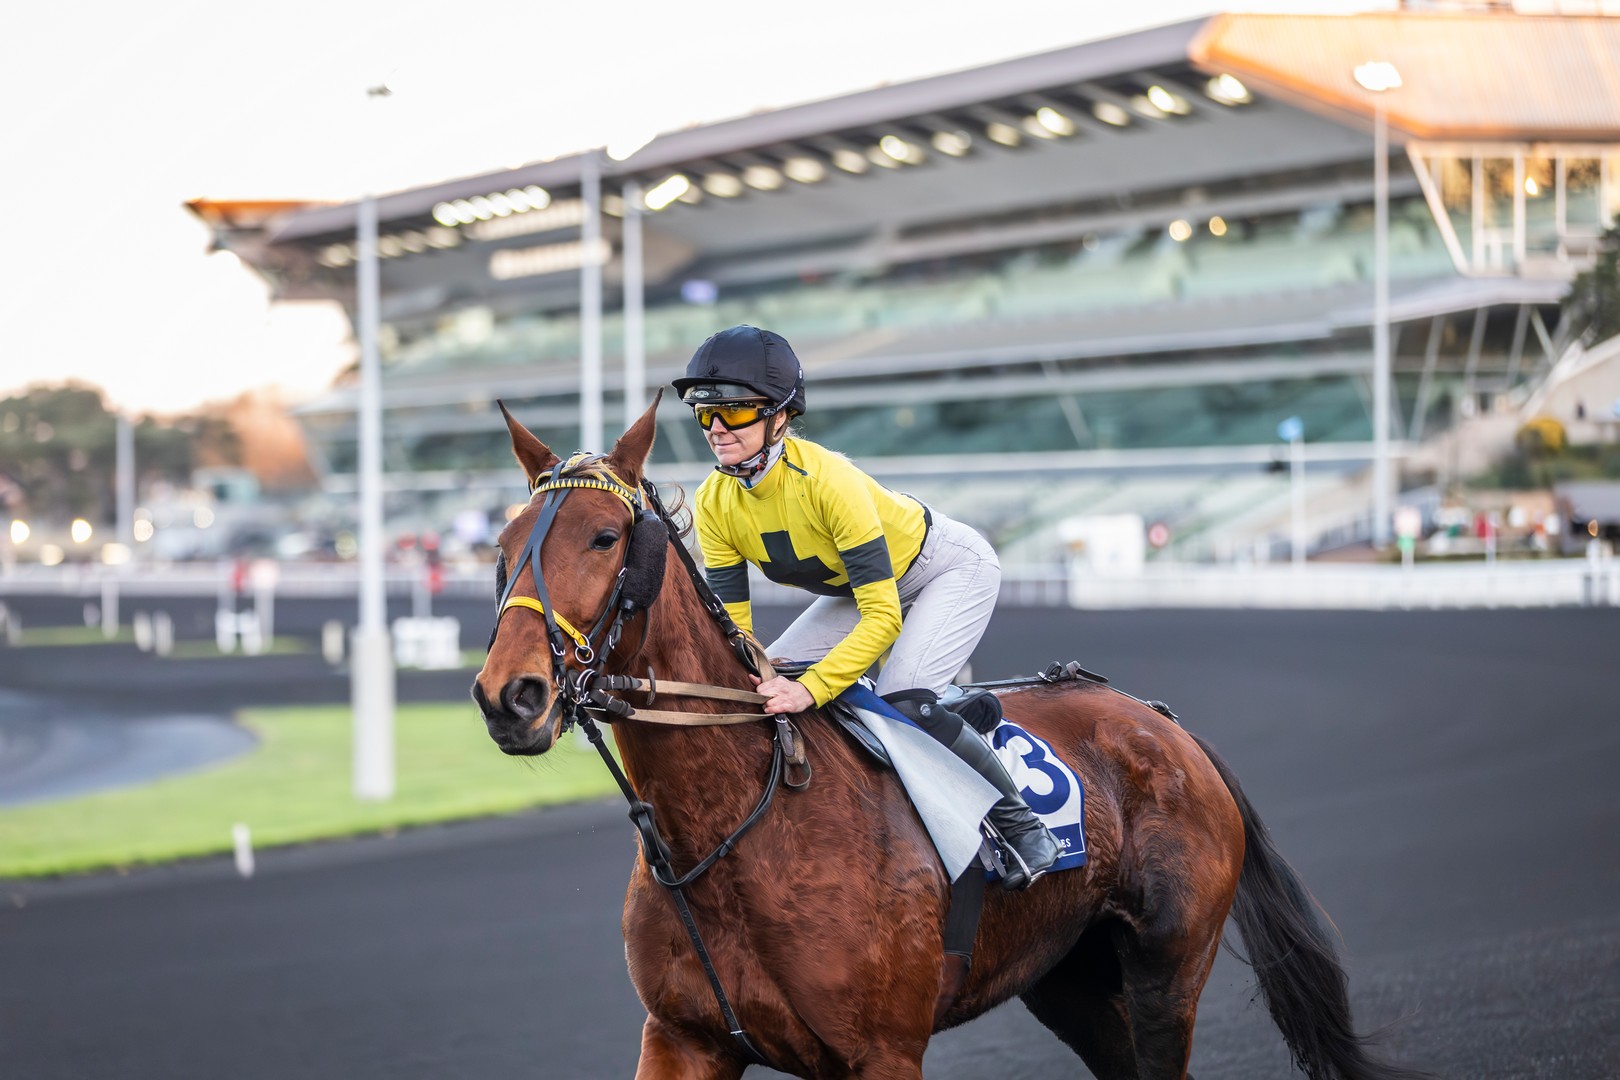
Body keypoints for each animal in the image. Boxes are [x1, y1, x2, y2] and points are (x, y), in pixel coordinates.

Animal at [472, 398, 1430, 1080]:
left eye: (604, 537)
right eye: (504, 544)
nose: (508, 697)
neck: (740, 826)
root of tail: (1161, 721)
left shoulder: (883, 1053)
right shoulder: (683, 1040)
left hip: (1168, 970)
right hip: (1068, 978)